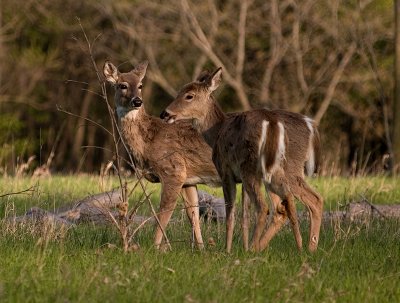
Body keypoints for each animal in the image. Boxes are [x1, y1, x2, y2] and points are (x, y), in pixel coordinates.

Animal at [102, 60, 222, 251]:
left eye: (140, 85)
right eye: (122, 85)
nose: (137, 101)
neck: (147, 143)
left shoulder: (173, 170)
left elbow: (162, 215)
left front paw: (155, 248)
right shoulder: (188, 179)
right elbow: (193, 215)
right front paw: (201, 250)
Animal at [160, 67, 324, 253]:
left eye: (189, 95)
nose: (165, 113)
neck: (216, 132)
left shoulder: (226, 171)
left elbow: (231, 213)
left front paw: (228, 249)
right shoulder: (241, 179)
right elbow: (245, 215)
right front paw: (241, 245)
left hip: (257, 167)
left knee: (271, 206)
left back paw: (259, 248)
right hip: (272, 170)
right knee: (288, 203)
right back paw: (299, 247)